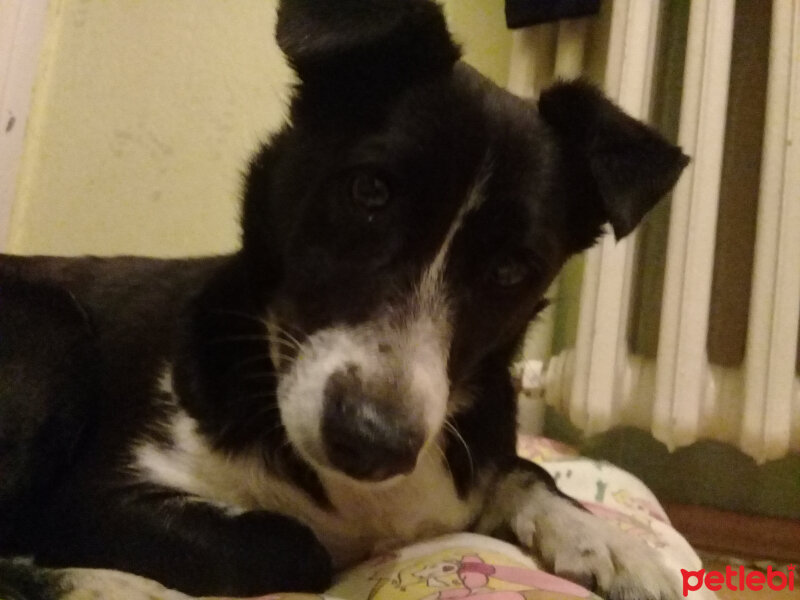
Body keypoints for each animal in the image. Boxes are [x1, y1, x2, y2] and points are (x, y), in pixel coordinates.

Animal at [0, 1, 688, 600]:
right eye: (369, 191)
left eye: (511, 268)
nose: (373, 442)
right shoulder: (97, 498)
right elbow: (298, 543)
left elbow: (527, 470)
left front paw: (612, 543)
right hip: (50, 327)